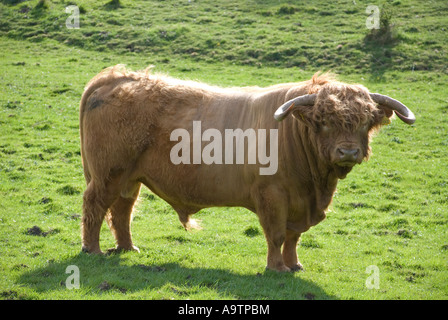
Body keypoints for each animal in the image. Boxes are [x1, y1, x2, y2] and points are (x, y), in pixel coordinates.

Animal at [79, 66, 414, 272]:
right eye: (324, 121)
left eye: (365, 121)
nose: (348, 151)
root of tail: (118, 77)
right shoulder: (273, 195)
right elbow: (276, 234)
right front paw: (276, 268)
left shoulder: (299, 203)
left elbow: (293, 237)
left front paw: (294, 265)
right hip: (108, 174)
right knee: (95, 206)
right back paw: (93, 250)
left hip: (129, 177)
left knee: (122, 210)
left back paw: (127, 248)